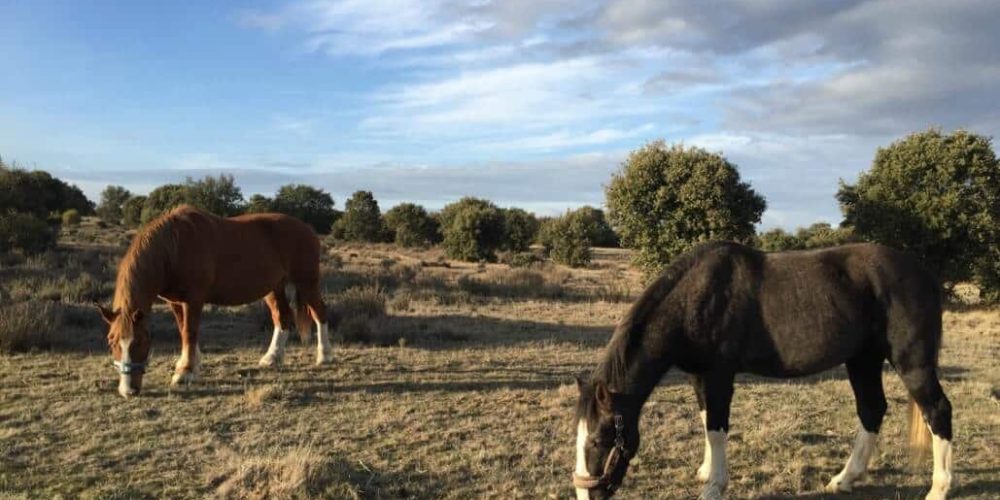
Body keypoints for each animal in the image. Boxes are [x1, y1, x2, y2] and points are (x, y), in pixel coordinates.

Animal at [97, 204, 332, 398]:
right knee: (282, 318)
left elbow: (189, 332)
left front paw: (185, 373)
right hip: (274, 288)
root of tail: (308, 229)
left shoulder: (193, 299)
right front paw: (190, 364)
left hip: (306, 282)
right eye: (111, 342)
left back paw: (324, 356)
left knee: (320, 313)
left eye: (141, 341)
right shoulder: (175, 302)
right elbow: (183, 330)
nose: (128, 391)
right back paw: (272, 358)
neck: (174, 248)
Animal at [572, 242, 952, 500]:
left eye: (598, 440)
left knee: (938, 411)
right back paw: (844, 479)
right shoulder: (698, 375)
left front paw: (714, 486)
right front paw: (706, 472)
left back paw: (938, 488)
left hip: (911, 363)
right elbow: (705, 419)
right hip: (863, 359)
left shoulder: (720, 374)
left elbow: (716, 427)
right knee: (872, 409)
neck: (695, 299)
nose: (585, 494)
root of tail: (925, 275)